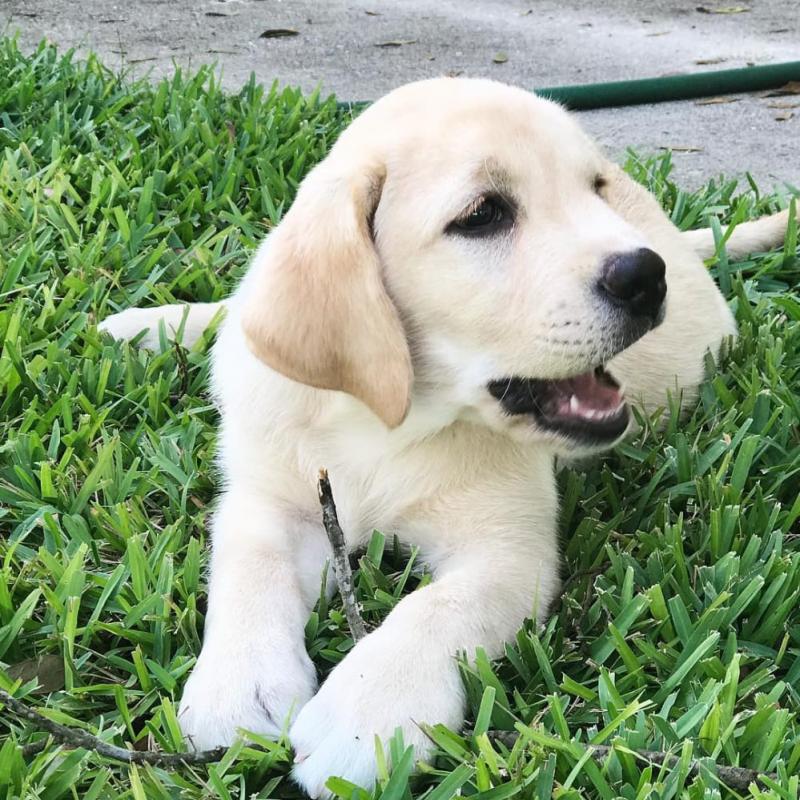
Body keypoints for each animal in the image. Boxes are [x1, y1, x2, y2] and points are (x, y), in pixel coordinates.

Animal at [98, 78, 788, 796]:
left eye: (596, 188)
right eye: (483, 215)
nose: (646, 276)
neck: (388, 419)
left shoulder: (508, 550)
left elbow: (436, 608)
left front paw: (365, 715)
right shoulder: (267, 496)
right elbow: (249, 568)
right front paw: (240, 684)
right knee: (240, 309)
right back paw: (148, 326)